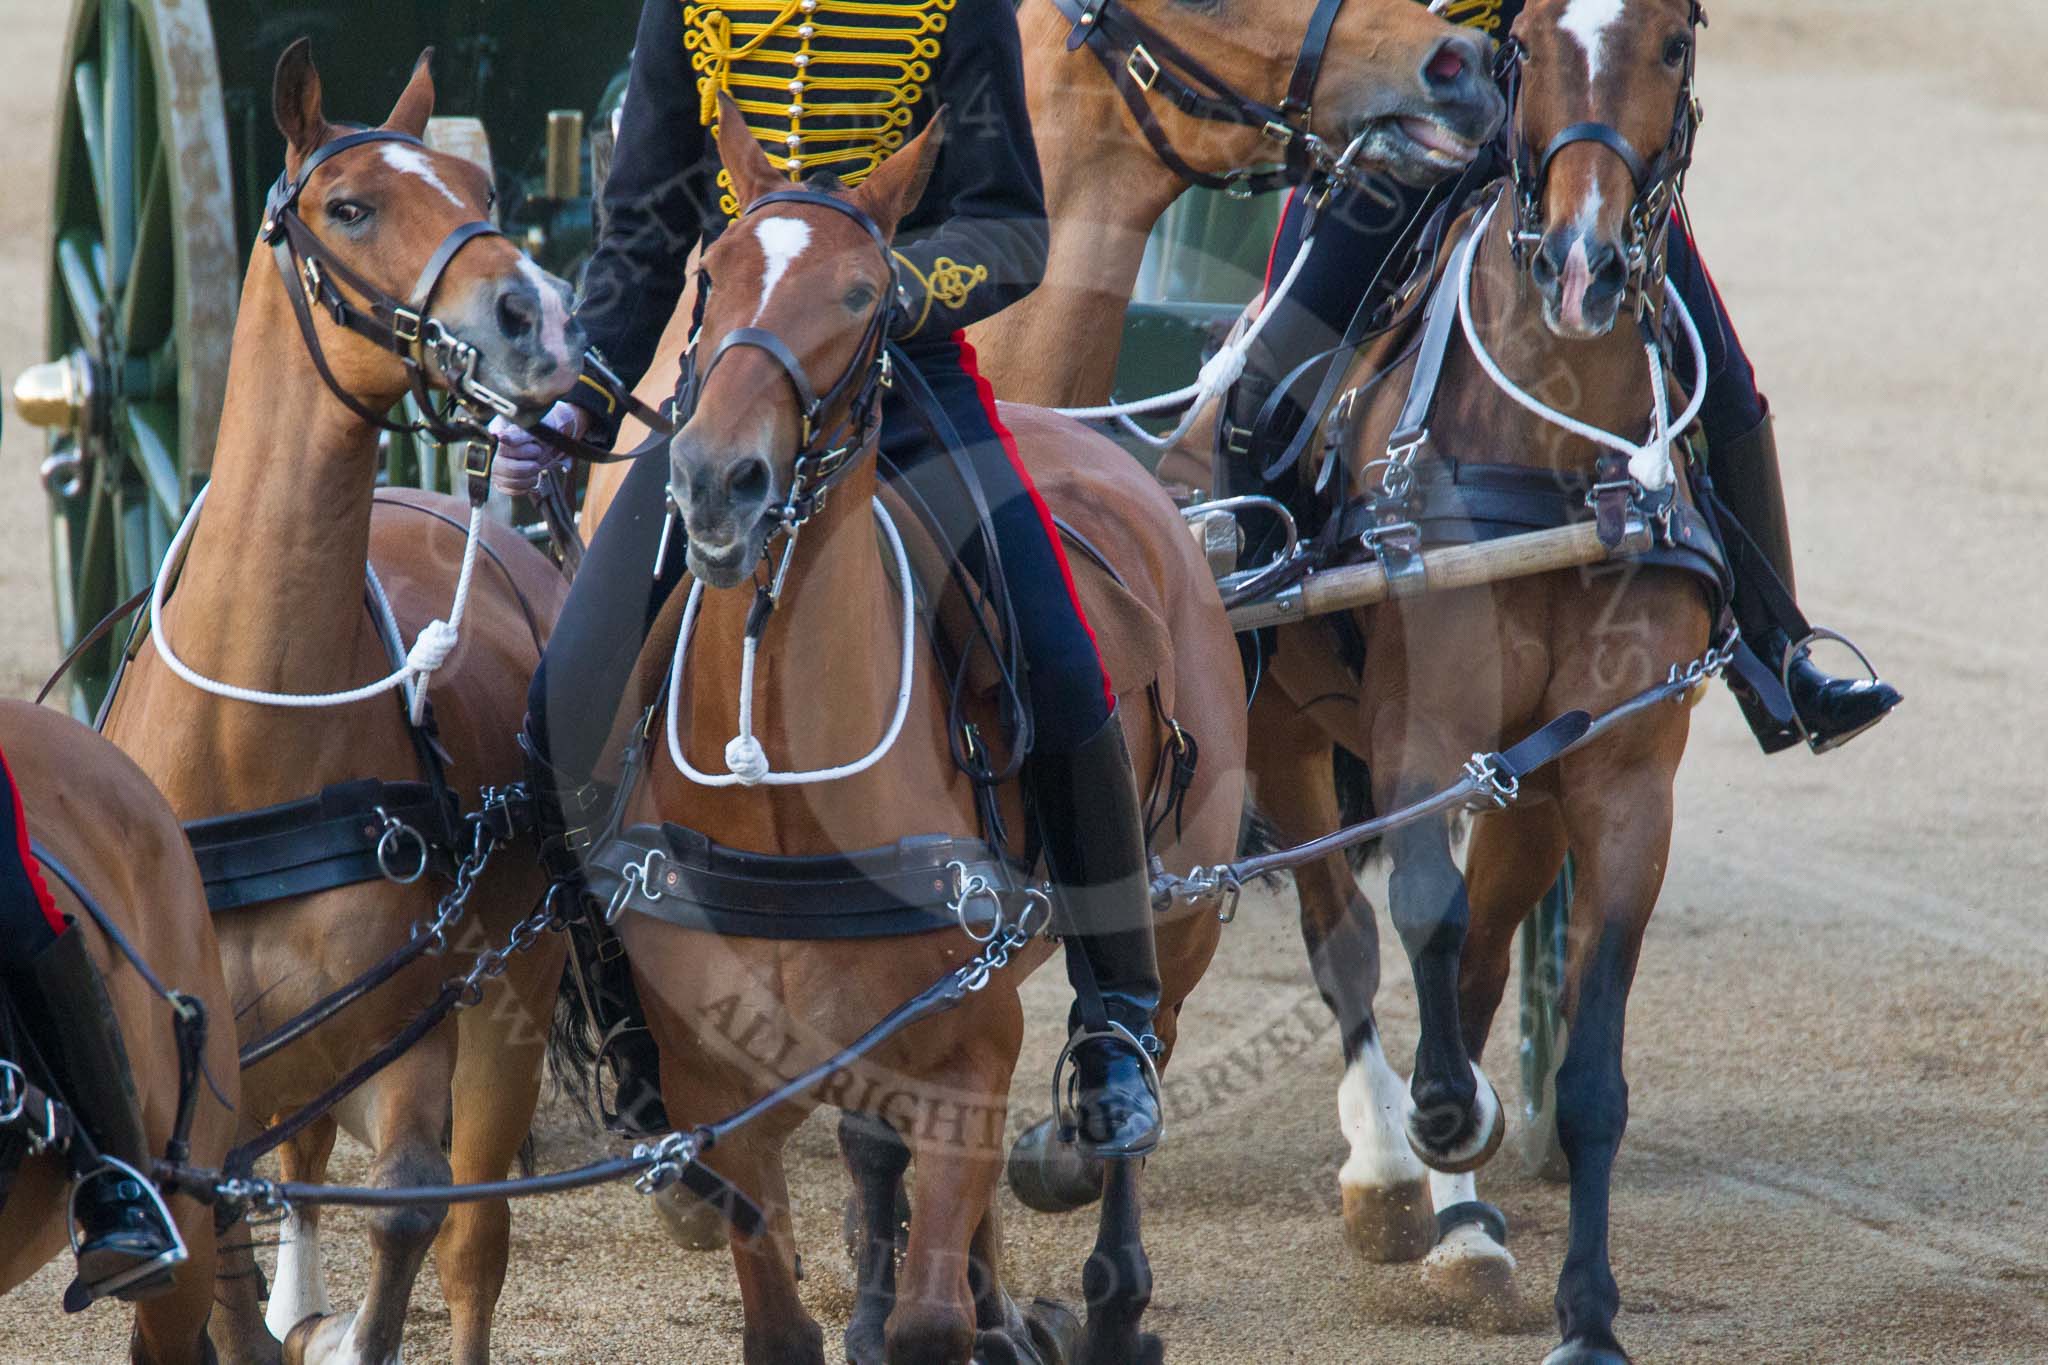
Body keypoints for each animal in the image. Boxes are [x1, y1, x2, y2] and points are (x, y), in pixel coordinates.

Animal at [100, 42, 573, 1365]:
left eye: (480, 189)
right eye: (349, 206)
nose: (537, 314)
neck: (250, 737)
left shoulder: (410, 1033)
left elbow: (410, 1213)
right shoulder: (206, 1077)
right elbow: (217, 1254)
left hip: (512, 997)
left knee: (472, 1247)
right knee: (303, 1172)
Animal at [606, 101, 1245, 1358]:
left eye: (864, 295)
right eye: (711, 273)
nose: (717, 481)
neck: (781, 802)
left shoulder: (963, 1059)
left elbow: (927, 1322)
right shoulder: (728, 1098)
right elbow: (785, 1322)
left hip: (1179, 911)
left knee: (1137, 1056)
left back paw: (1109, 1285)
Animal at [1310, 2, 1712, 1358]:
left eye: (1671, 45)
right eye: (1524, 44)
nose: (1584, 269)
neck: (1549, 470)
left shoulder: (1618, 774)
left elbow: (1587, 1071)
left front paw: (1584, 1314)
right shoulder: (1418, 732)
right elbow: (1422, 912)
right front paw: (1437, 1118)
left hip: (1529, 790)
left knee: (1482, 960)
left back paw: (1462, 1217)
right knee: (1338, 928)